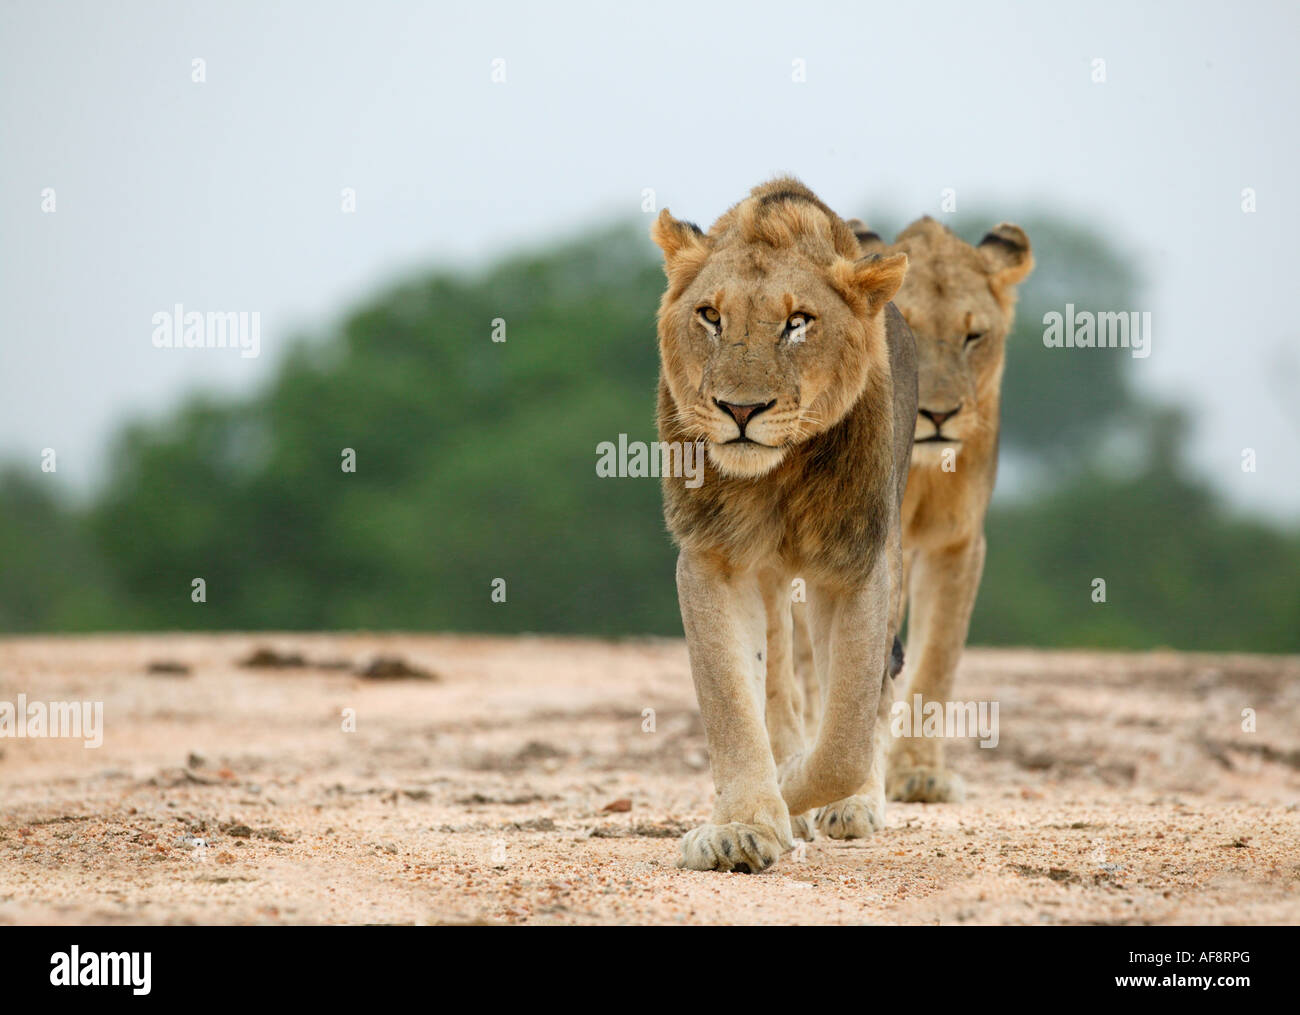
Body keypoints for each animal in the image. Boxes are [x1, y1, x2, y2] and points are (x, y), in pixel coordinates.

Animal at [650, 176, 915, 873]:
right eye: (711, 316)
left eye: (798, 323)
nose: (740, 410)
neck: (780, 475)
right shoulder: (712, 557)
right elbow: (732, 702)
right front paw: (743, 825)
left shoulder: (856, 566)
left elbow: (845, 737)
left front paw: (795, 789)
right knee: (777, 685)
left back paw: (849, 805)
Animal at [847, 211, 1040, 800]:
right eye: (905, 330)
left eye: (972, 336)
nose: (936, 415)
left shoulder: (958, 543)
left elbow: (937, 660)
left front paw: (918, 774)